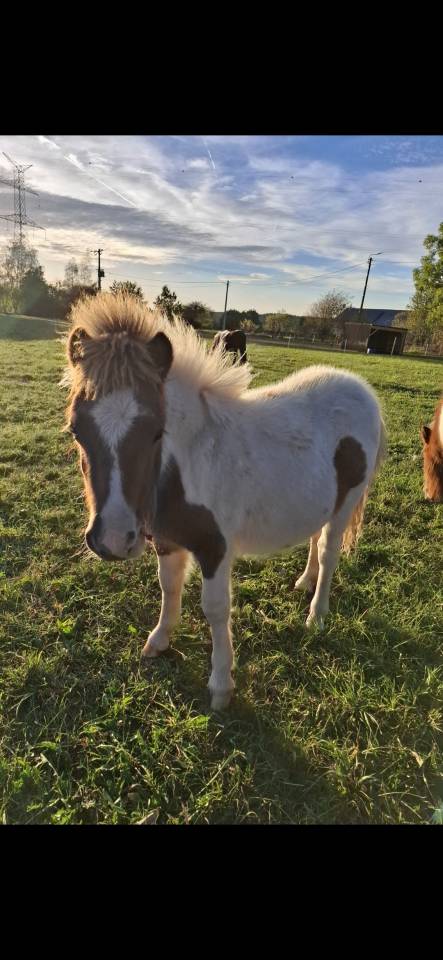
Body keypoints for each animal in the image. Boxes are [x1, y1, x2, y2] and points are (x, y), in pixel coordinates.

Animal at [63, 293, 387, 710]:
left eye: (156, 431)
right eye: (76, 430)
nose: (114, 540)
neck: (187, 463)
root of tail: (362, 390)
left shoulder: (215, 548)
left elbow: (216, 610)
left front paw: (221, 685)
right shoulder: (167, 540)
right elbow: (169, 587)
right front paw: (159, 640)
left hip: (346, 502)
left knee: (329, 551)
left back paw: (316, 615)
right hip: (322, 499)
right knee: (315, 539)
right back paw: (304, 581)